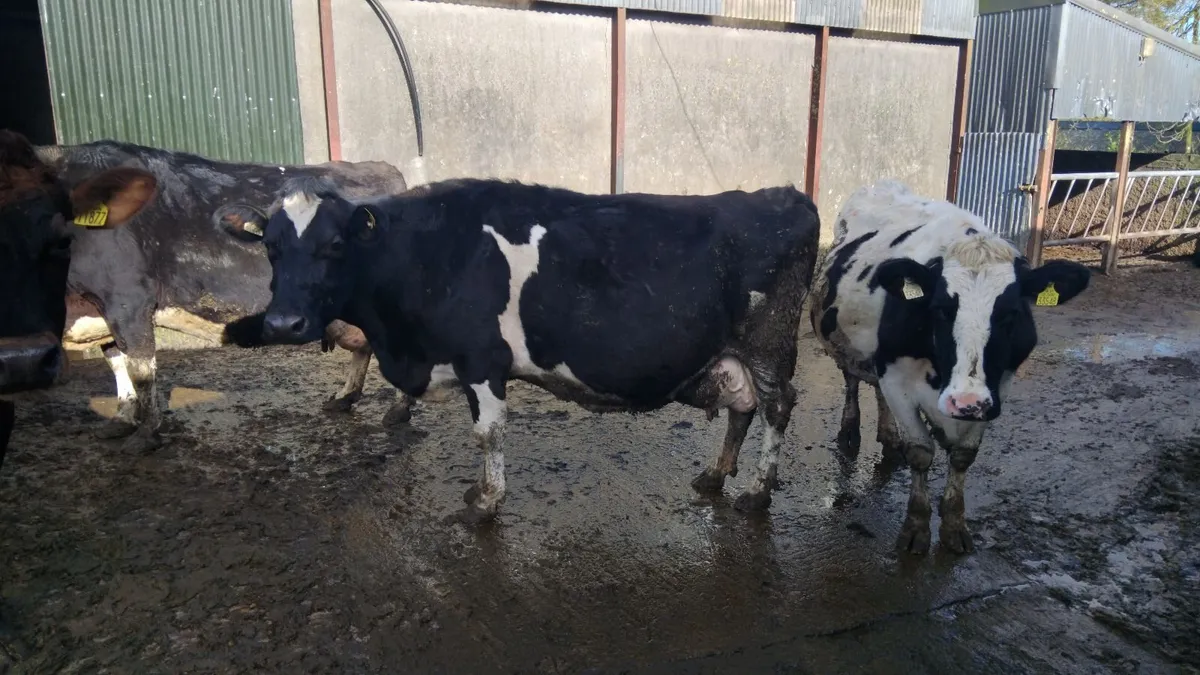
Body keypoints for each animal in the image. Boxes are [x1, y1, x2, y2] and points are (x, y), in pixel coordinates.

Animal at [0, 130, 156, 467]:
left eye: (63, 241)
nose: (22, 362)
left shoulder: (129, 303)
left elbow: (140, 368)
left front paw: (146, 435)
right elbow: (118, 360)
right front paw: (123, 418)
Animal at [34, 140, 419, 453]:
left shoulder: (128, 300)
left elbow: (140, 368)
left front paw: (145, 435)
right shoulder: (99, 307)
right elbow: (116, 361)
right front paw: (122, 419)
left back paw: (398, 409)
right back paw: (344, 398)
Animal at [215, 177, 820, 523]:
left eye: (336, 244)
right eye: (271, 246)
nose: (283, 322)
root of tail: (785, 194)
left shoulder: (482, 357)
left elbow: (488, 432)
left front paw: (486, 503)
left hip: (769, 341)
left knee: (777, 406)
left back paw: (757, 493)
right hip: (733, 353)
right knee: (742, 407)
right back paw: (715, 475)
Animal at [810, 180, 1091, 555]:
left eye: (1011, 314)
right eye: (942, 309)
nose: (966, 402)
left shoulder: (995, 389)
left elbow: (962, 456)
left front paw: (954, 525)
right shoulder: (896, 377)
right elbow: (920, 452)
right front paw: (916, 527)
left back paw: (888, 435)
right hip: (846, 344)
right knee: (852, 379)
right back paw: (851, 431)